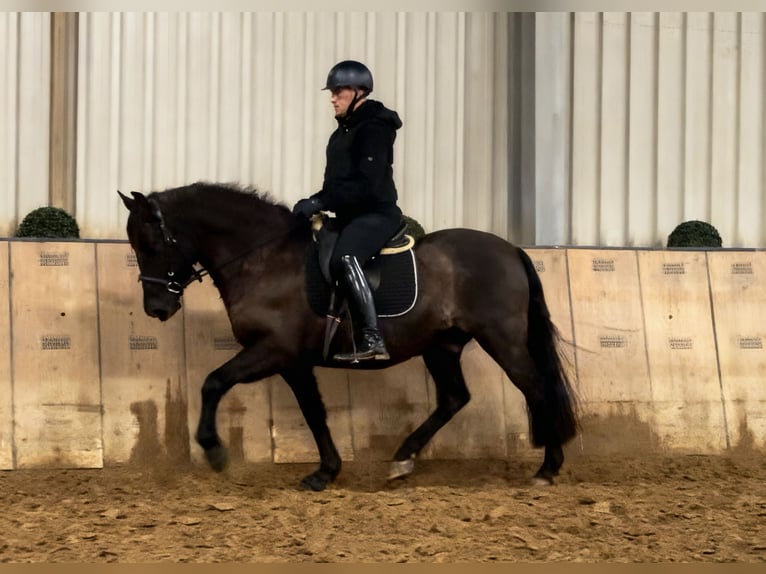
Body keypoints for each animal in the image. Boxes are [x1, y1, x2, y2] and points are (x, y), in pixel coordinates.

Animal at [118, 182, 579, 491]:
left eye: (151, 243)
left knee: (535, 387)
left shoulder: (273, 350)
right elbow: (314, 412)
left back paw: (548, 469)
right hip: (441, 345)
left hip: (501, 338)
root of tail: (511, 250)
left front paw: (213, 450)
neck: (264, 258)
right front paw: (325, 472)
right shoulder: (293, 361)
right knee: (454, 398)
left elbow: (213, 382)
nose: (156, 308)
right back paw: (402, 460)